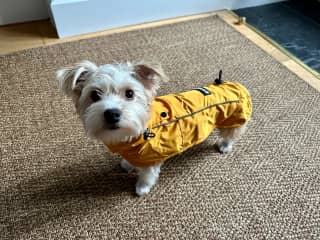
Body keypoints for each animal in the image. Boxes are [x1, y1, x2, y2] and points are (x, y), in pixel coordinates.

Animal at [57, 61, 252, 196]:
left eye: (130, 93)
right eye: (95, 95)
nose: (112, 113)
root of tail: (235, 85)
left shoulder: (152, 157)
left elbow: (147, 175)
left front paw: (142, 188)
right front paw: (127, 164)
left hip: (235, 119)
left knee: (231, 135)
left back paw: (225, 145)